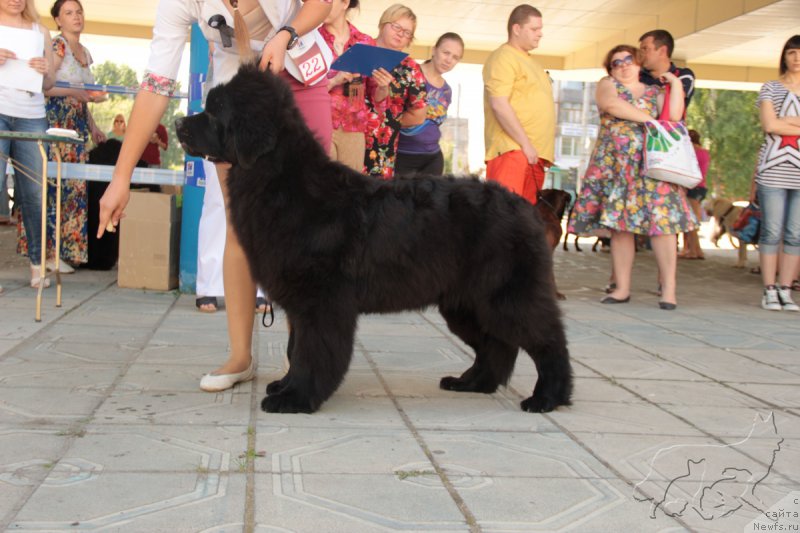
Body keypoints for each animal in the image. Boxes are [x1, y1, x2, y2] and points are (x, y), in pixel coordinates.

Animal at [177, 64, 572, 416]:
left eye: (214, 110)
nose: (180, 123)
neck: (282, 182)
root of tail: (525, 206)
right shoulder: (303, 300)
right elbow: (295, 346)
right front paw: (285, 387)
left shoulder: (321, 301)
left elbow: (309, 351)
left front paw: (296, 398)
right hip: (466, 302)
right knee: (495, 345)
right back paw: (472, 382)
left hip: (507, 296)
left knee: (547, 341)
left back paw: (547, 397)